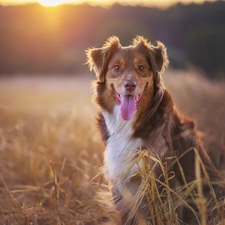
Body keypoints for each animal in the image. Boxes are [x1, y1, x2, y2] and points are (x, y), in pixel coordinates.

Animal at [86, 36, 225, 224]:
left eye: (141, 67)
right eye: (116, 67)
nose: (130, 85)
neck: (129, 126)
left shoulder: (160, 180)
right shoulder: (120, 183)